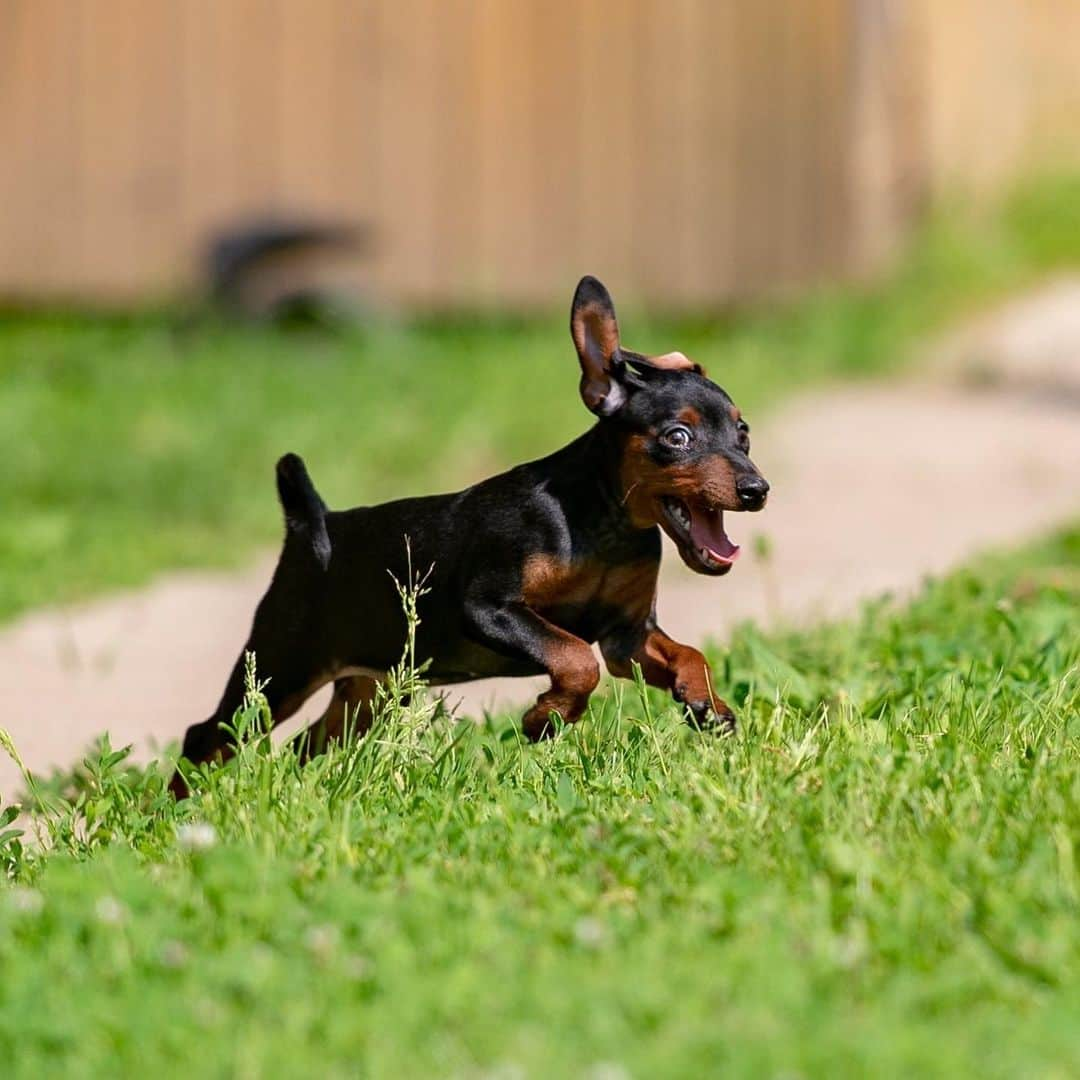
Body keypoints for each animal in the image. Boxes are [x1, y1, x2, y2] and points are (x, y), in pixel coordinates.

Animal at [168, 278, 768, 799]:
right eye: (678, 437)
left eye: (743, 434)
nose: (757, 489)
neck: (603, 525)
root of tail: (314, 530)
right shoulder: (488, 607)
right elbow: (575, 658)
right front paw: (546, 717)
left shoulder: (627, 635)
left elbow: (688, 654)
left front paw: (704, 702)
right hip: (278, 670)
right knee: (207, 734)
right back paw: (176, 809)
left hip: (368, 689)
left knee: (305, 745)